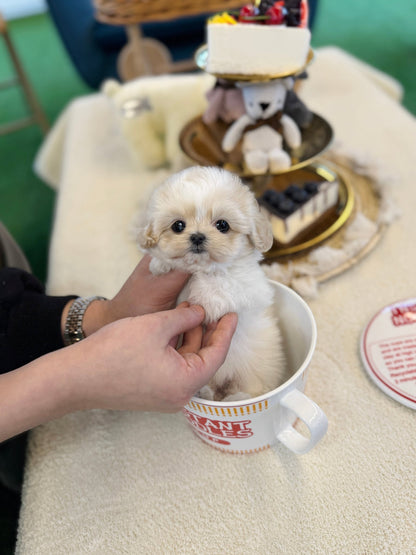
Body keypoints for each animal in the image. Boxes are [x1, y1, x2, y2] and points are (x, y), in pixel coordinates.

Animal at [136, 167, 286, 402]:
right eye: (178, 226)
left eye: (222, 225)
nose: (197, 237)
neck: (201, 269)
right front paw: (160, 265)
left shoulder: (247, 285)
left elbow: (224, 283)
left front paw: (207, 300)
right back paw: (205, 391)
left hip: (255, 372)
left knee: (248, 391)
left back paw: (237, 396)